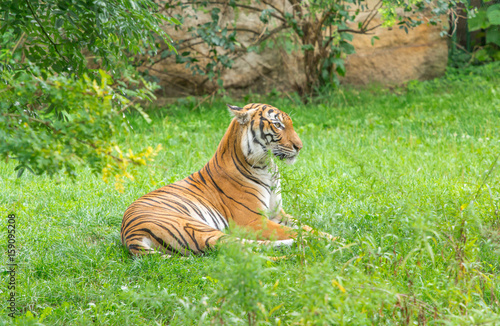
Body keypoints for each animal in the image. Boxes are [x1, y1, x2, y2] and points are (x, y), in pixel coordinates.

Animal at [120, 102, 336, 258]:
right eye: (277, 125)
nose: (300, 147)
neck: (267, 166)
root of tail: (130, 235)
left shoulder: (277, 213)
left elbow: (307, 227)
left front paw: (330, 236)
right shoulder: (253, 220)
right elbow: (298, 231)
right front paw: (334, 241)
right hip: (195, 227)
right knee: (239, 246)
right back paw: (298, 246)